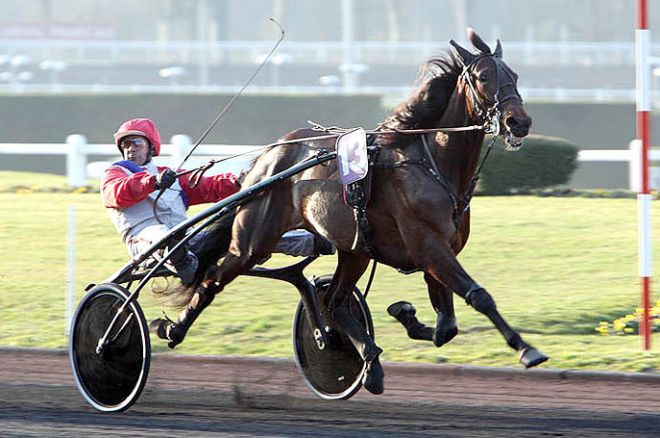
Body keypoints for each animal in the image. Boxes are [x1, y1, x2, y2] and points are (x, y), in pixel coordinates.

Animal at [150, 30, 548, 394]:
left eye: (513, 74)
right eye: (482, 77)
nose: (518, 122)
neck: (431, 164)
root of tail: (265, 159)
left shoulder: (438, 251)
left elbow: (446, 326)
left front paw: (406, 314)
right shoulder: (429, 247)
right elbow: (478, 296)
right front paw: (527, 350)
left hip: (354, 247)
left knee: (334, 301)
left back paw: (368, 363)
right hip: (253, 242)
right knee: (213, 280)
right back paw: (173, 328)